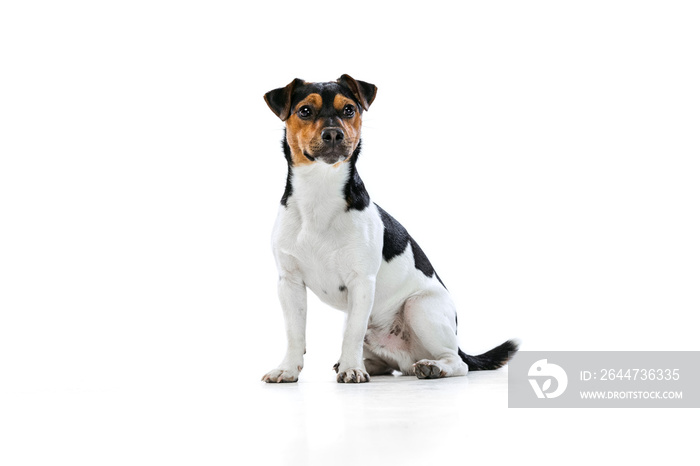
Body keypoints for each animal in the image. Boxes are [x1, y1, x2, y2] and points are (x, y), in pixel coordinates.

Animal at [260, 75, 516, 382]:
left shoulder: (361, 282)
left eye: (349, 110)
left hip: (419, 308)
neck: (319, 193)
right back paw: (365, 364)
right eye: (305, 111)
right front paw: (288, 369)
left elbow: (352, 334)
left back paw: (432, 367)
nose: (333, 134)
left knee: (457, 362)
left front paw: (351, 370)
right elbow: (294, 333)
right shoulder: (290, 283)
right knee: (386, 363)